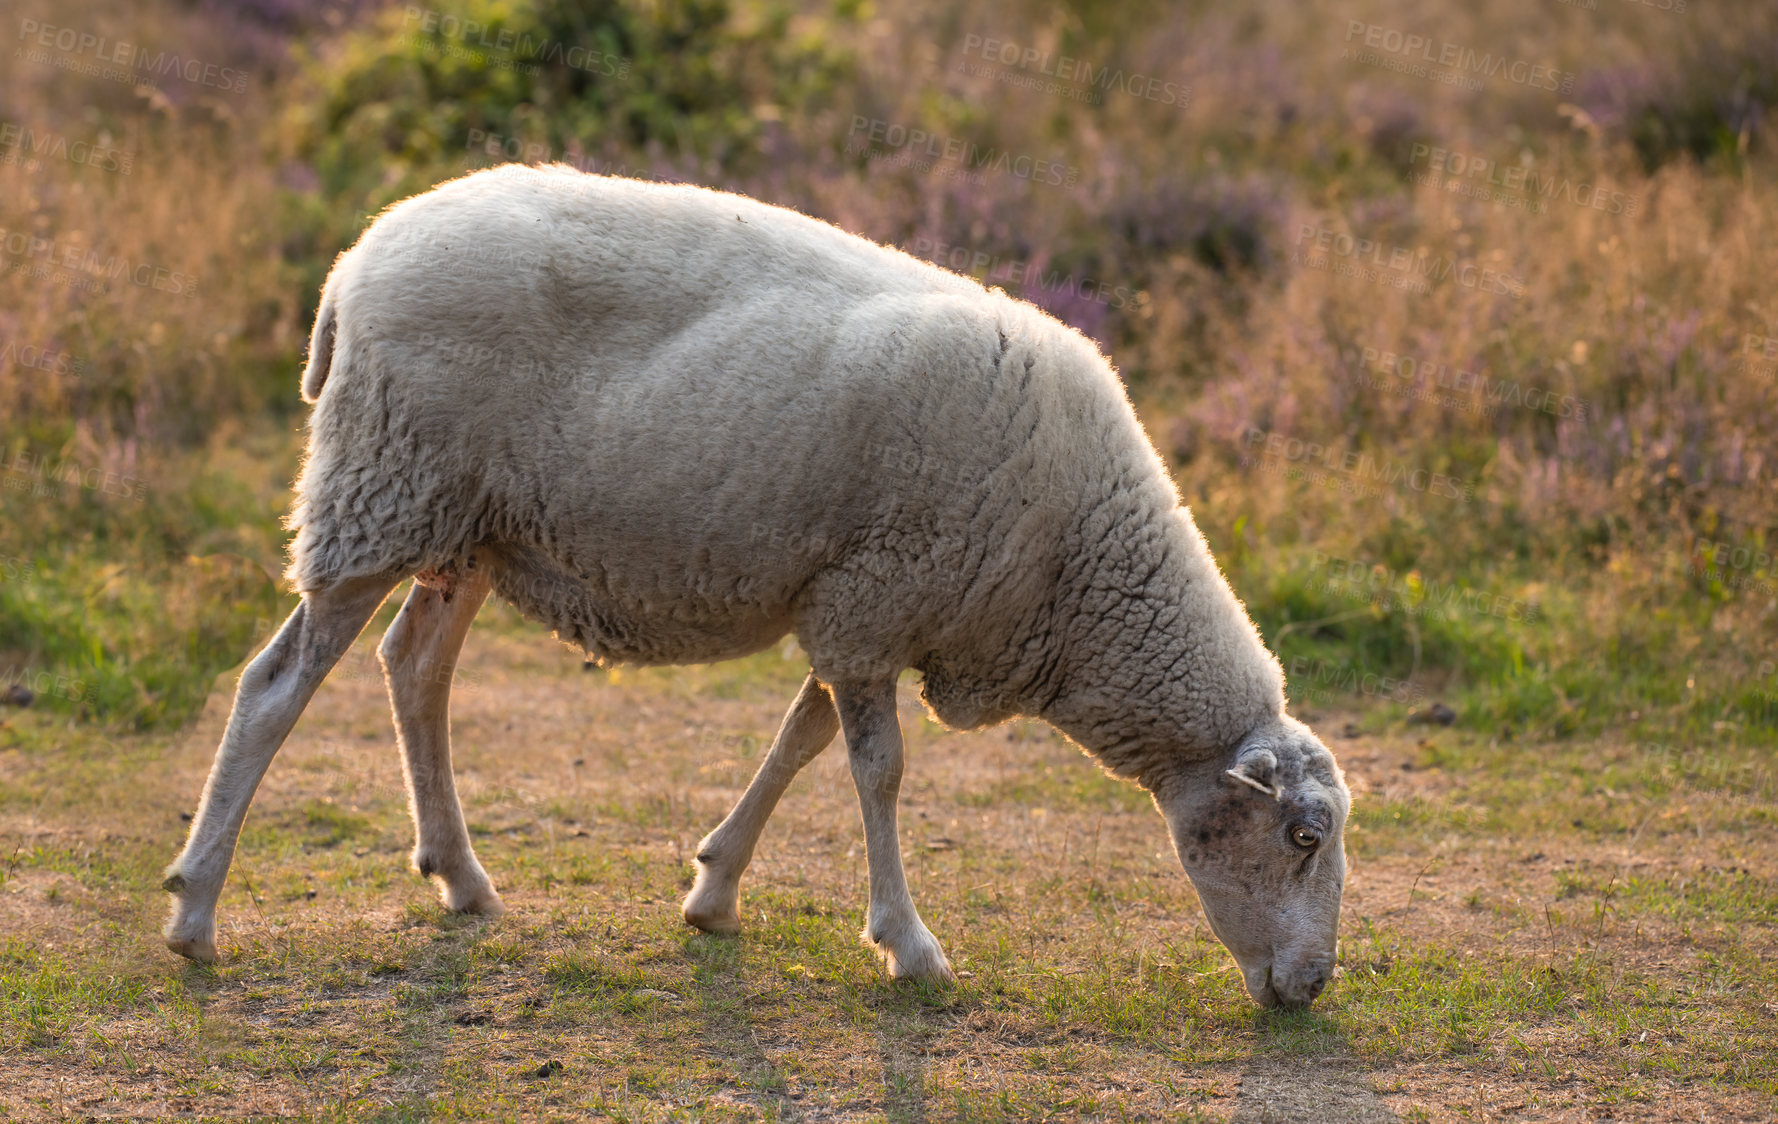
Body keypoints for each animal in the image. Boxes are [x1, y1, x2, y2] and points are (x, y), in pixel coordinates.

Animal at [163, 164, 1344, 1010]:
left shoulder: (857, 601)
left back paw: (459, 875)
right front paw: (908, 945)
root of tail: (353, 264)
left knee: (414, 669)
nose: (1311, 987)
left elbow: (801, 741)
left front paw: (714, 889)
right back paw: (194, 910)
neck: (1079, 567)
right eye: (1302, 838)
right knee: (275, 686)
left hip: (466, 526)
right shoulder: (879, 594)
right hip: (384, 485)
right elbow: (878, 771)